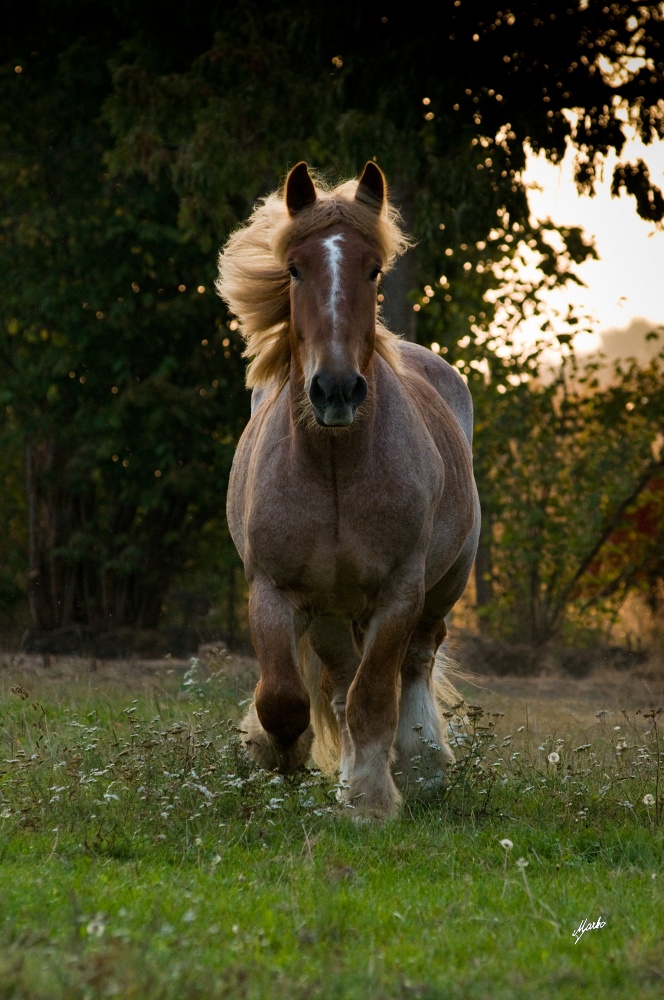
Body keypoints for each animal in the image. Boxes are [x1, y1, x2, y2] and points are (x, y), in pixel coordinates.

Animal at [219, 162, 482, 820]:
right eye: (294, 268)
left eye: (373, 269)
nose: (336, 390)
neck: (335, 466)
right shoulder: (274, 590)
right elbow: (284, 699)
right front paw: (279, 755)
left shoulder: (399, 593)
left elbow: (373, 698)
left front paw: (367, 798)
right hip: (333, 615)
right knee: (337, 683)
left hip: (442, 587)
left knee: (415, 663)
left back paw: (420, 765)